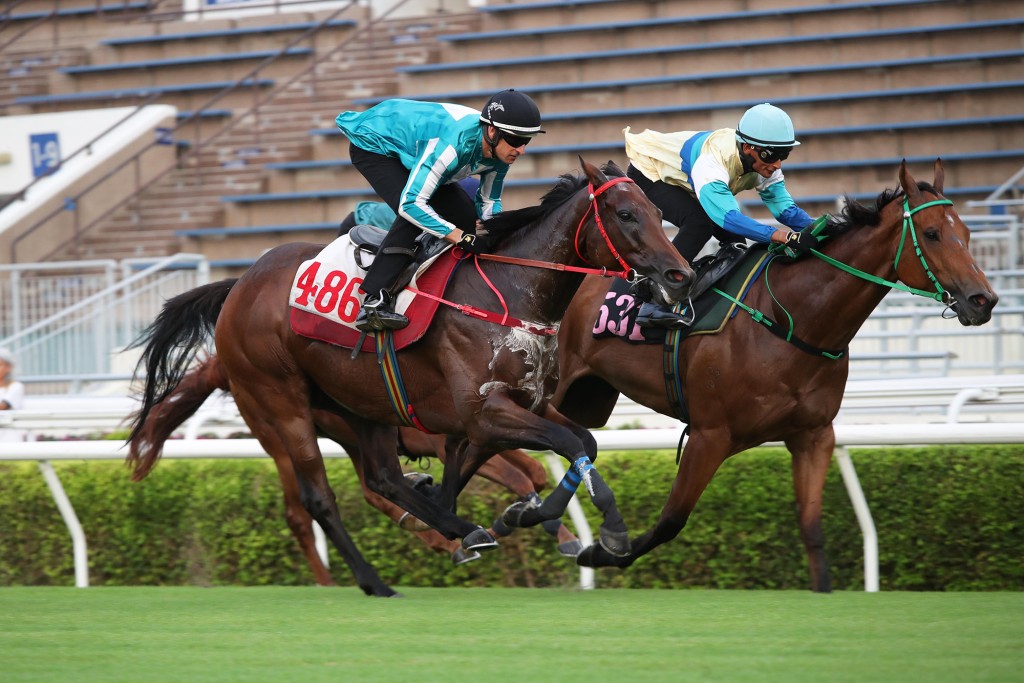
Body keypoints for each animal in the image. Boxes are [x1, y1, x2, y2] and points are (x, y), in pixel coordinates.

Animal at [125, 352, 585, 589]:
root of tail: (224, 359)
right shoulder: (449, 437)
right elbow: (520, 475)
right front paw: (557, 535)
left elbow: (532, 470)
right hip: (282, 436)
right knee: (301, 511)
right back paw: (331, 579)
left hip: (347, 433)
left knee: (371, 487)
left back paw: (432, 532)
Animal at [548, 161, 995, 593]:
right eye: (932, 234)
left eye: (967, 232)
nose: (984, 300)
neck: (793, 319)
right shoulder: (710, 435)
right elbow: (670, 521)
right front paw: (599, 550)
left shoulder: (814, 436)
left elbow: (812, 530)